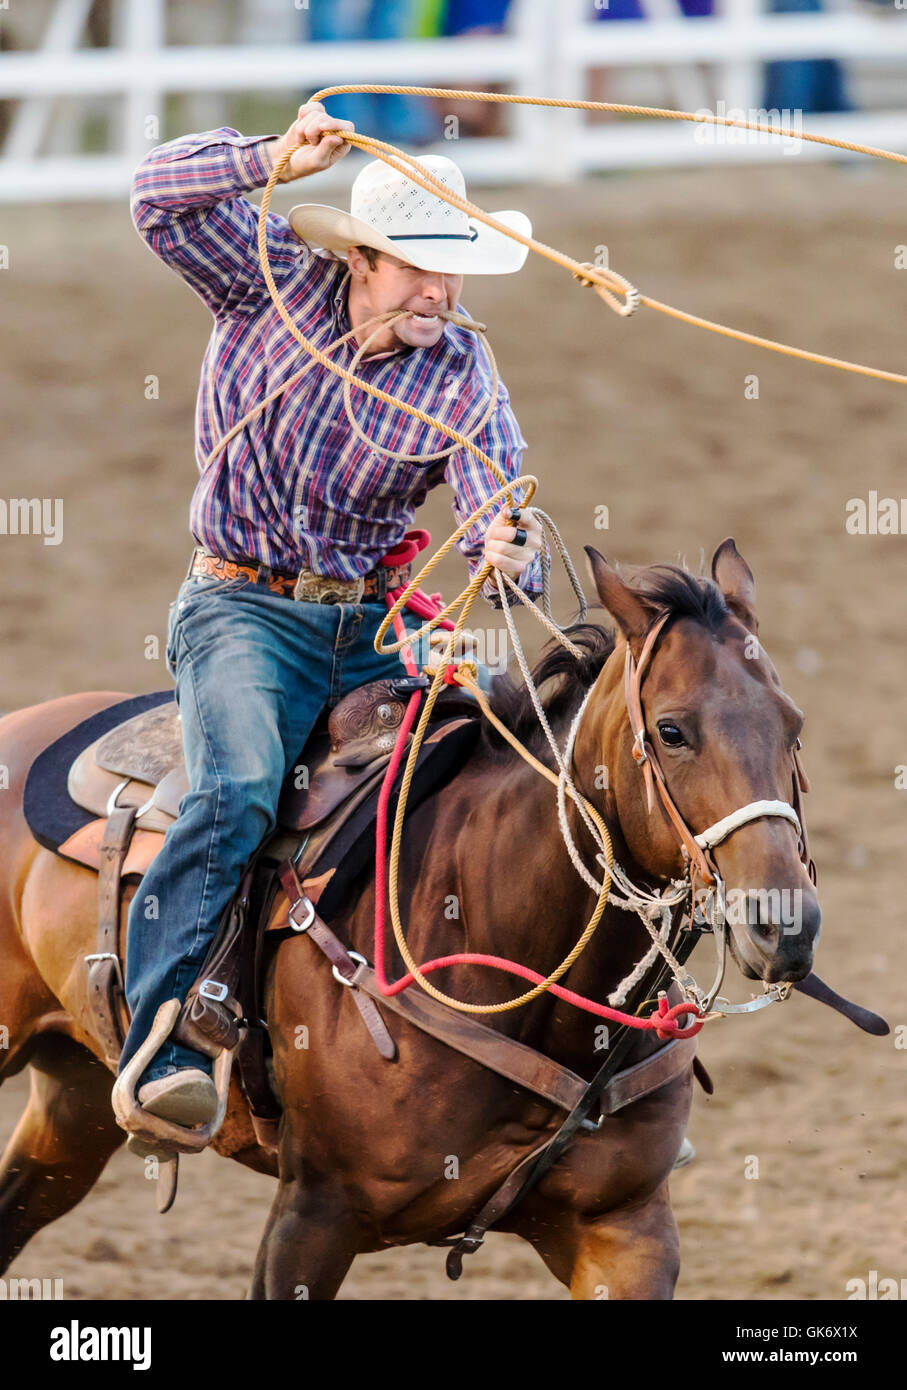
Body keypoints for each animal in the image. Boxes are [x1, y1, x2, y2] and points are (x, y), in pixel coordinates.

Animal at [0, 536, 822, 1295]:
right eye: (673, 730)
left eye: (794, 725)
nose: (787, 926)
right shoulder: (311, 1217)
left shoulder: (626, 1228)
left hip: (74, 1101)